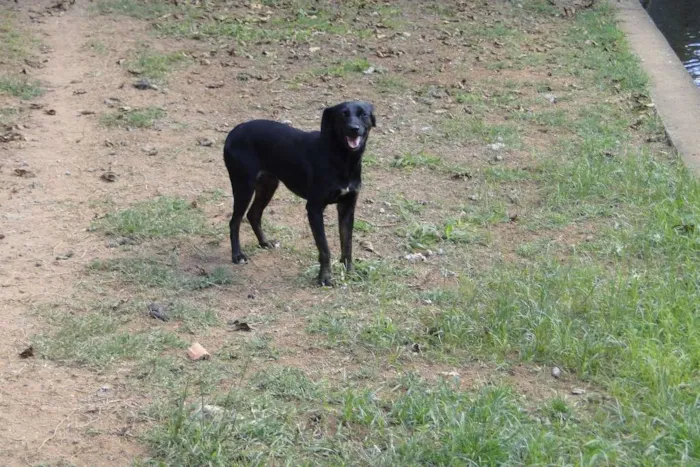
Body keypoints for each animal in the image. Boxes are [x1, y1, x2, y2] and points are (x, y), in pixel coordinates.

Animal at [224, 101, 378, 286]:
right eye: (343, 114)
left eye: (363, 114)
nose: (354, 129)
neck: (342, 158)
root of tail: (234, 131)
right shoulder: (314, 208)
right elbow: (324, 248)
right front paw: (325, 277)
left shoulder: (347, 207)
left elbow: (347, 245)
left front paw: (350, 272)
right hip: (243, 186)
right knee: (235, 221)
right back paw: (237, 255)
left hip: (268, 184)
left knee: (253, 214)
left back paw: (264, 242)